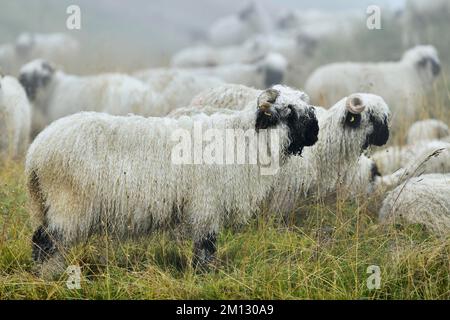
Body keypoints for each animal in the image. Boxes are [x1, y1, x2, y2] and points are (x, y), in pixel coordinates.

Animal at [304, 45, 442, 130]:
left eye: (435, 55)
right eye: (425, 59)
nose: (439, 68)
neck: (413, 73)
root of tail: (314, 84)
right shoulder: (406, 114)